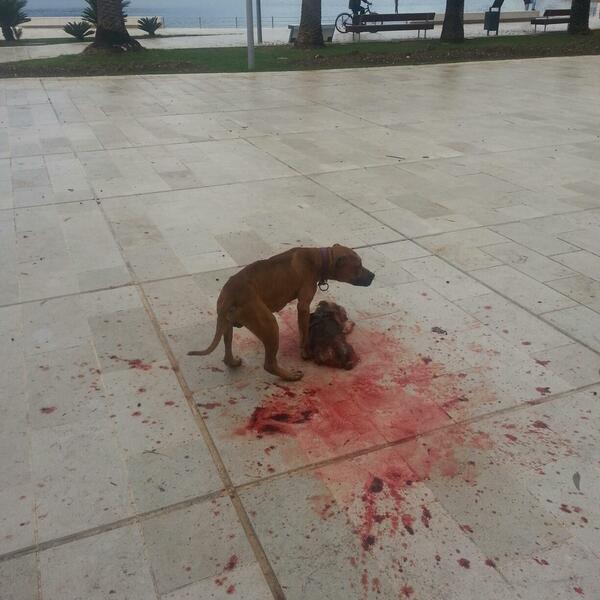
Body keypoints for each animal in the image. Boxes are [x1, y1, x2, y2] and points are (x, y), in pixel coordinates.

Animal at [188, 245, 374, 381]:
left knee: (227, 352)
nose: (373, 275)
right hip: (270, 325)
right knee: (269, 364)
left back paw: (233, 362)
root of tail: (229, 295)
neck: (319, 258)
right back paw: (290, 376)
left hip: (227, 324)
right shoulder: (303, 306)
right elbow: (304, 332)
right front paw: (306, 352)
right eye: (358, 266)